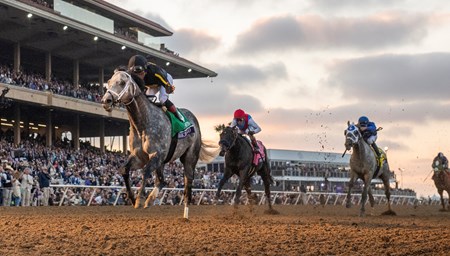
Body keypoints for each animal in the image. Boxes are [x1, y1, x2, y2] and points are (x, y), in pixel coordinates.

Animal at [102, 71, 221, 219]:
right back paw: (151, 200)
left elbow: (145, 171)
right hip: (163, 162)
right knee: (162, 181)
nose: (106, 100)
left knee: (187, 185)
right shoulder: (139, 157)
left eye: (122, 83)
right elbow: (124, 169)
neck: (143, 124)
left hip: (190, 158)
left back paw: (185, 215)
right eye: (108, 81)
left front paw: (139, 199)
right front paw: (132, 198)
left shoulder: (156, 155)